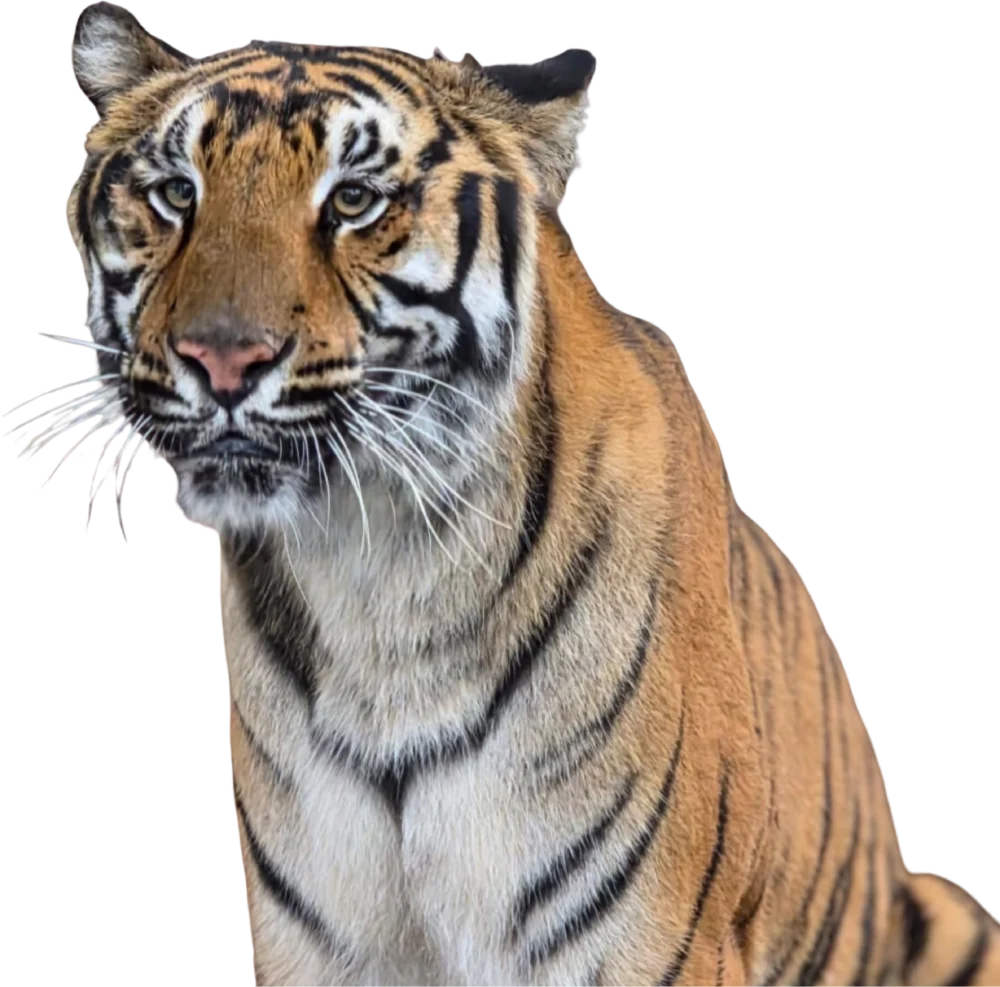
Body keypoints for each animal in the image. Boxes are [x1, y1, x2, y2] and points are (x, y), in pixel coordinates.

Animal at [63, 4, 998, 986]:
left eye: (354, 201)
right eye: (176, 193)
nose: (222, 360)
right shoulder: (314, 947)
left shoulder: (651, 942)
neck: (375, 573)